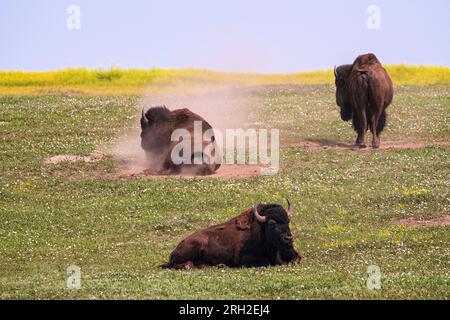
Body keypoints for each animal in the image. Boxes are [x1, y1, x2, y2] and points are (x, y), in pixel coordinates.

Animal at [160, 201, 300, 268]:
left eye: (288, 221)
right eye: (271, 223)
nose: (288, 238)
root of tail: (173, 251)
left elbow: (297, 258)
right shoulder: (244, 259)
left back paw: (220, 265)